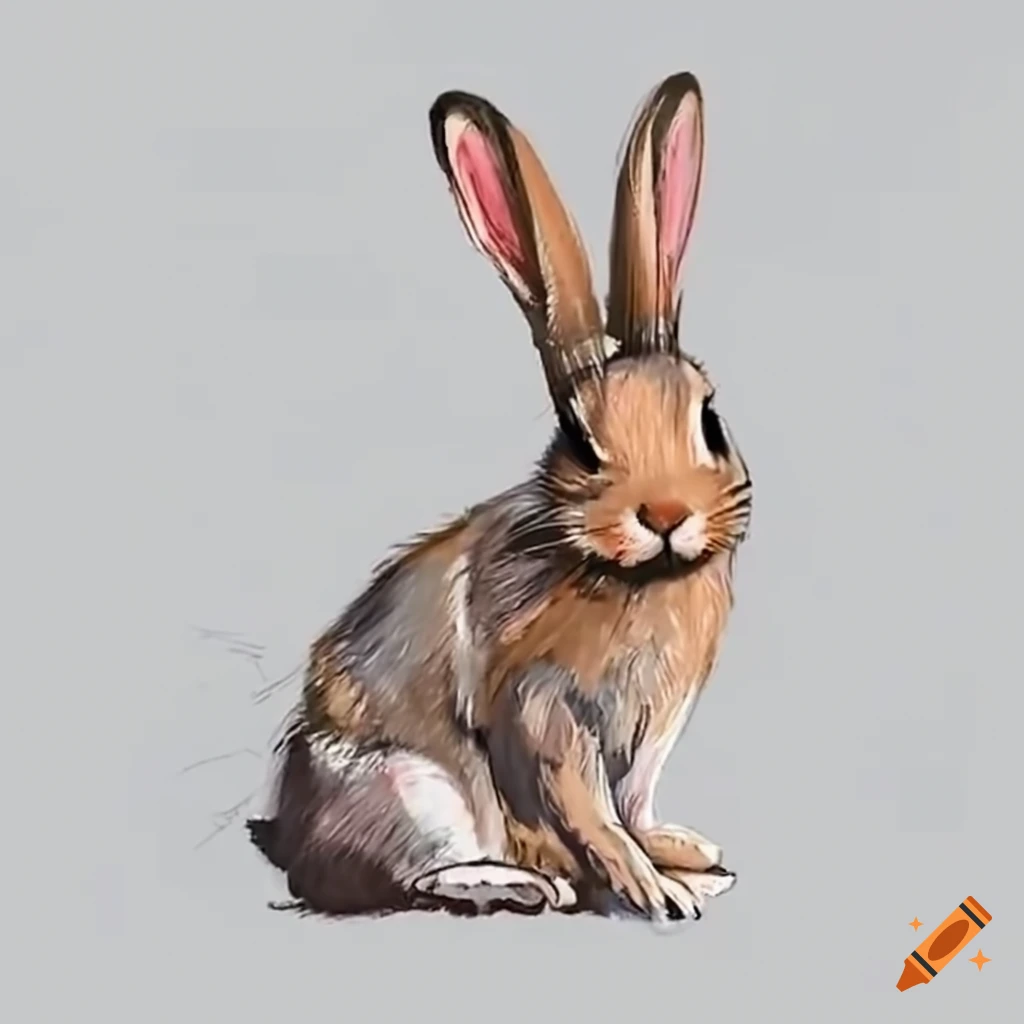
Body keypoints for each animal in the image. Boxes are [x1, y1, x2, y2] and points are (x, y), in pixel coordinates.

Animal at [247, 70, 752, 925]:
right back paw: (515, 883)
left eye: (709, 421)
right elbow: (594, 813)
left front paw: (684, 856)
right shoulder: (544, 712)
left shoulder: (651, 737)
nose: (665, 517)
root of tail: (286, 830)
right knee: (415, 874)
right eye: (578, 438)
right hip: (420, 792)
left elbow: (634, 807)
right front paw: (655, 891)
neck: (635, 578)